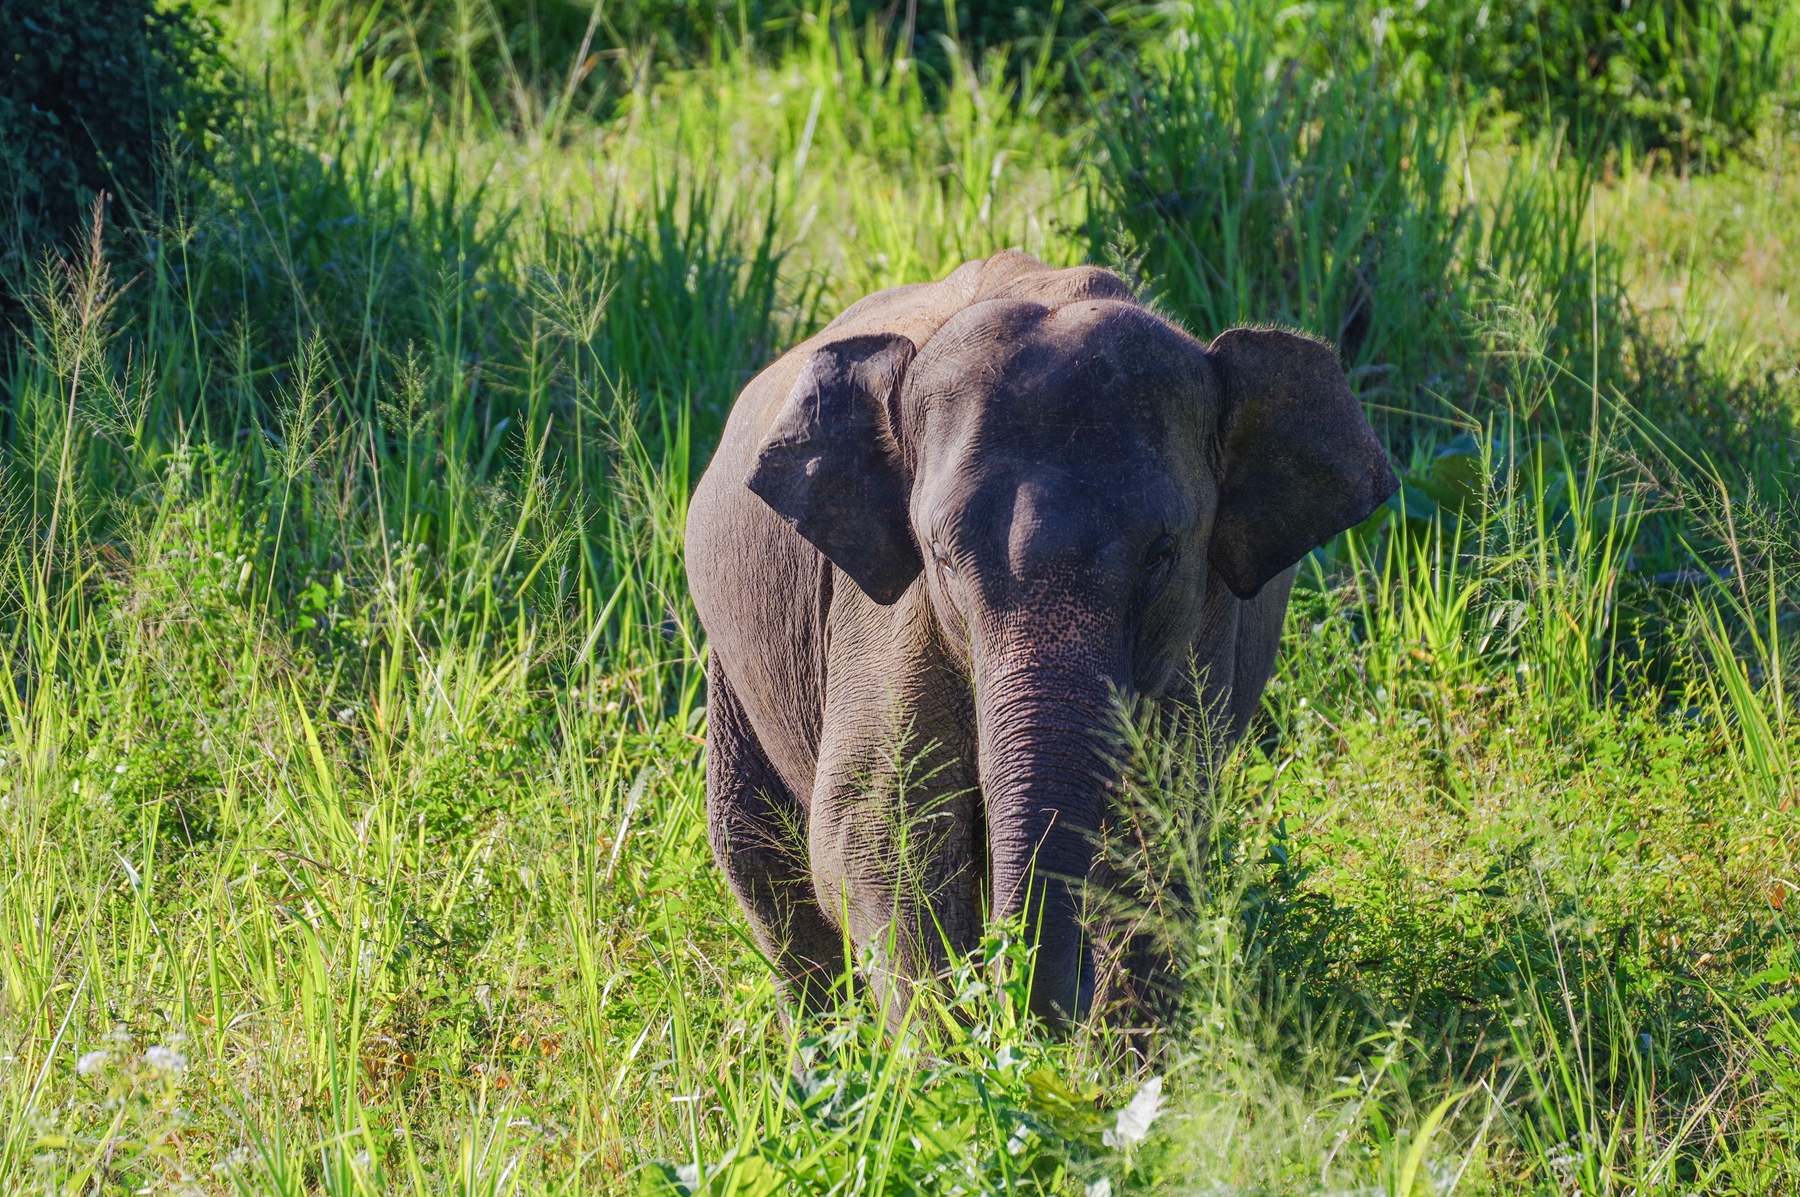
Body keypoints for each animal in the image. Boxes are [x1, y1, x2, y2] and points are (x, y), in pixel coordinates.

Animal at [680, 250, 1396, 1015]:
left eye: (1161, 552)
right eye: (941, 556)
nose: (1036, 994)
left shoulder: (1205, 627)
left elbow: (1159, 825)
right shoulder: (887, 616)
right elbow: (877, 827)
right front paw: (957, 1043)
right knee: (757, 850)